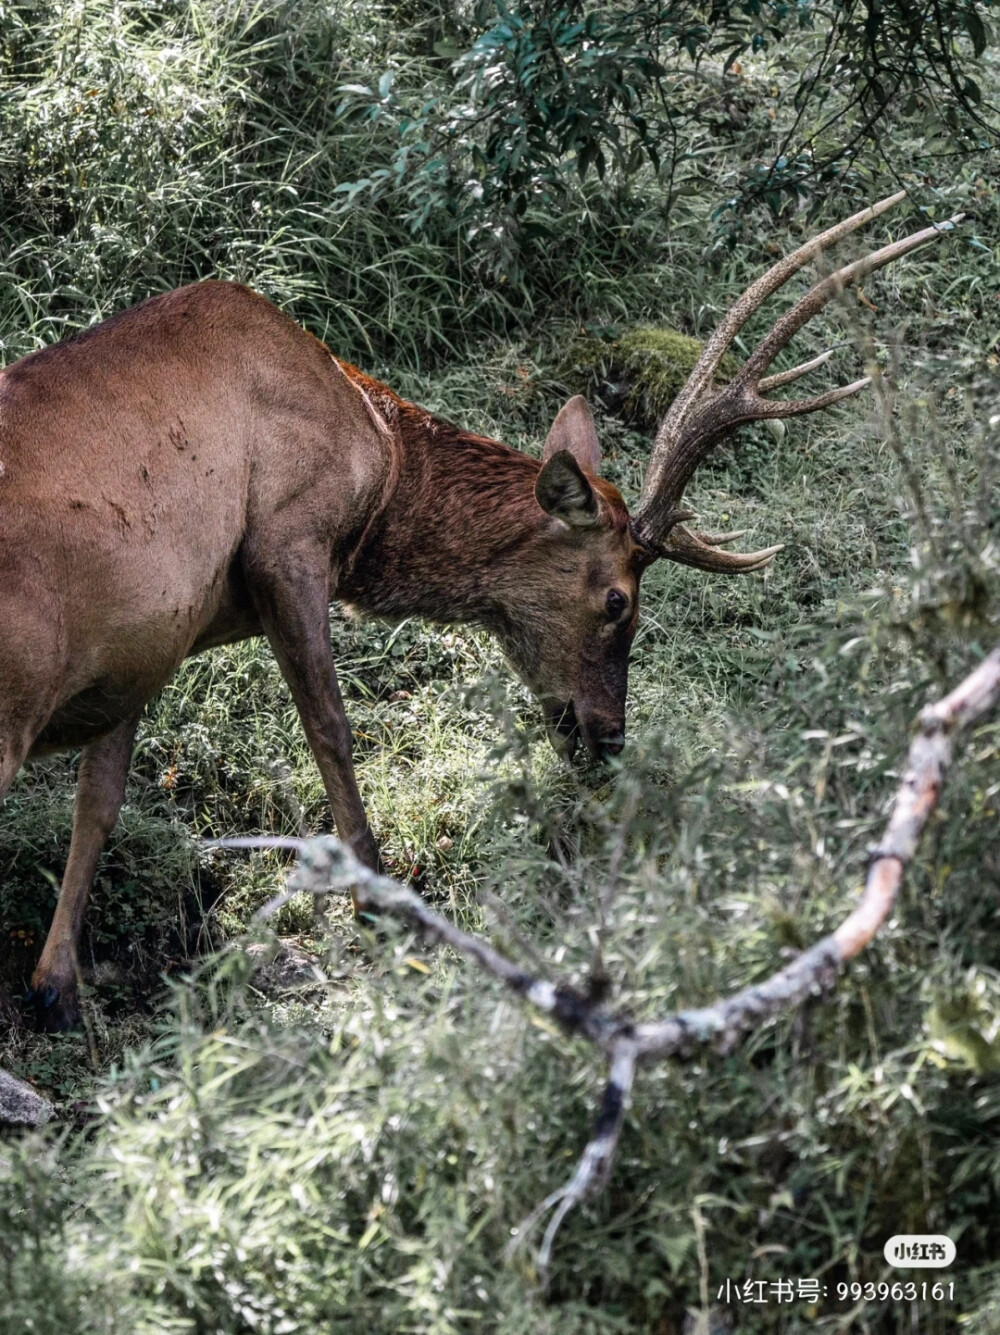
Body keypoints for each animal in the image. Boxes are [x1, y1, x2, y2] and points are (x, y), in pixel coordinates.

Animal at [0, 193, 950, 1030]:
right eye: (619, 599)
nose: (609, 734)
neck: (377, 463)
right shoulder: (286, 540)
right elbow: (332, 730)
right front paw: (381, 898)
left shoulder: (146, 639)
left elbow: (101, 798)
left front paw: (56, 985)